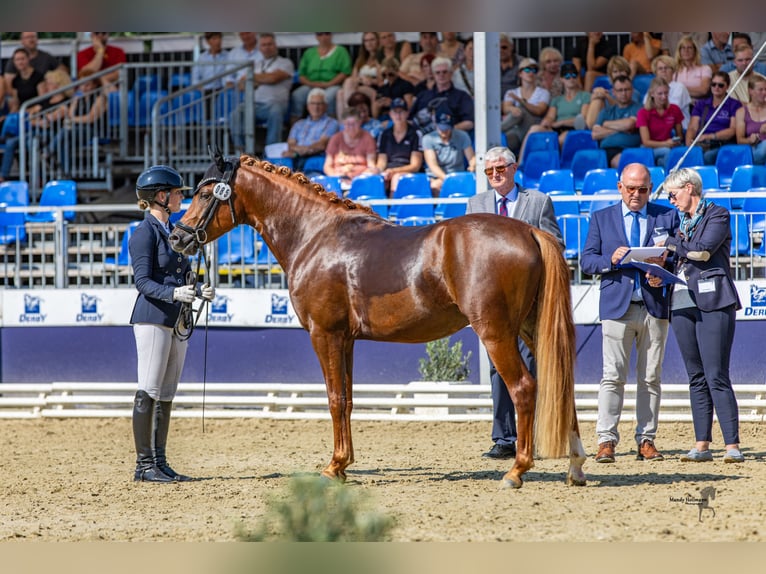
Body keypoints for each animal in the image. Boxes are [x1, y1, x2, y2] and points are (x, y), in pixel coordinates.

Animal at [170, 154, 588, 490]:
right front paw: (343, 465)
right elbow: (348, 399)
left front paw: (333, 467)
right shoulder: (346, 339)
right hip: (531, 330)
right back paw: (576, 467)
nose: (177, 236)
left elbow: (334, 399)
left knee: (524, 388)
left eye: (206, 194)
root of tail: (529, 230)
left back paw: (516, 471)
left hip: (497, 333)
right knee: (561, 385)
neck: (314, 235)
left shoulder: (324, 335)